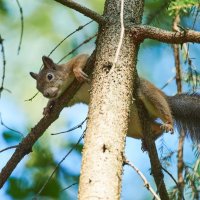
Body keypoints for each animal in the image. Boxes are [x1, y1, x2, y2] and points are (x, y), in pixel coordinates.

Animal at [30, 54, 200, 143]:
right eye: (38, 89)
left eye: (50, 76)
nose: (46, 94)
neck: (65, 85)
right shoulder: (71, 97)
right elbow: (63, 103)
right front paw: (48, 107)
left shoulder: (76, 63)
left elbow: (80, 60)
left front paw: (78, 72)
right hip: (134, 127)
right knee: (155, 127)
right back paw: (152, 137)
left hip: (148, 93)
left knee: (162, 106)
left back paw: (168, 123)